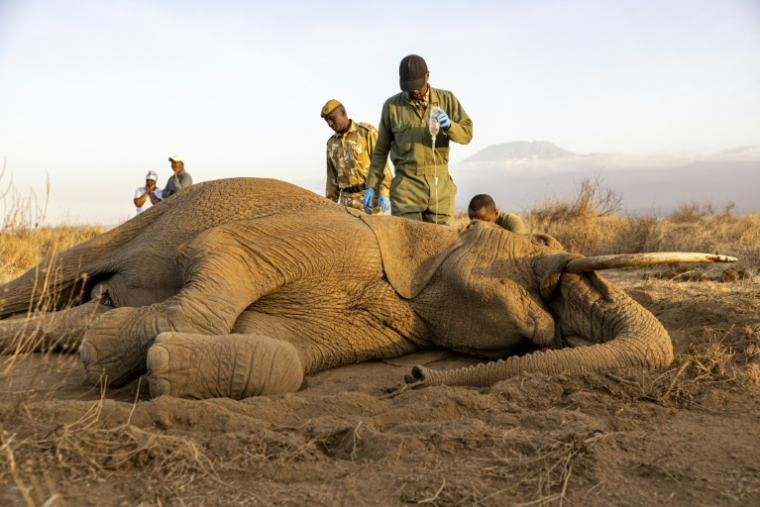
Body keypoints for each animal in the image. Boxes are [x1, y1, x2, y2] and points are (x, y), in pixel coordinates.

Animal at [0, 178, 736, 400]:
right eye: (543, 248)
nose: (413, 376)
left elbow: (285, 358)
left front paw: (158, 365)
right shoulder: (343, 236)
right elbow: (218, 251)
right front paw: (114, 352)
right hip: (137, 221)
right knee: (55, 273)